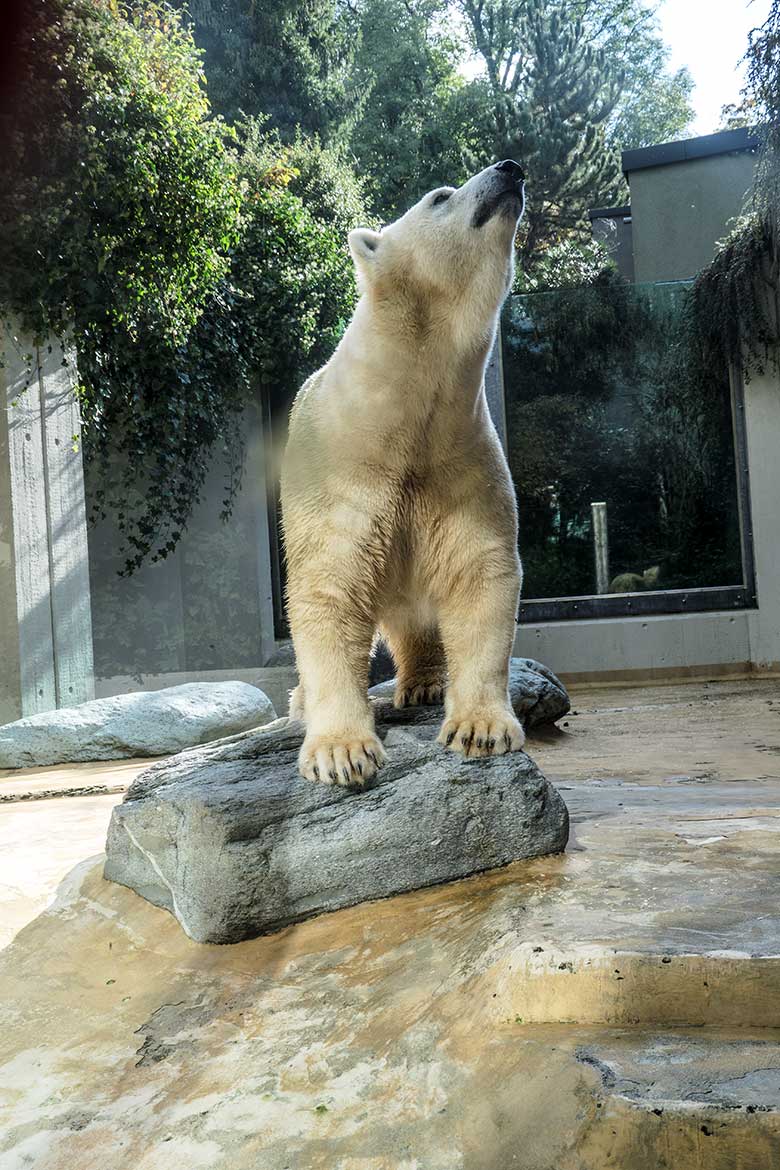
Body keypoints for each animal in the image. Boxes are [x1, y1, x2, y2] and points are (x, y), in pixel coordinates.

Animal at [279, 160, 523, 781]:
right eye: (440, 195)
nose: (510, 168)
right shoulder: (341, 474)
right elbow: (329, 589)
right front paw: (342, 753)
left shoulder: (459, 457)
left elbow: (479, 573)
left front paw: (480, 728)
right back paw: (300, 701)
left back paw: (426, 682)